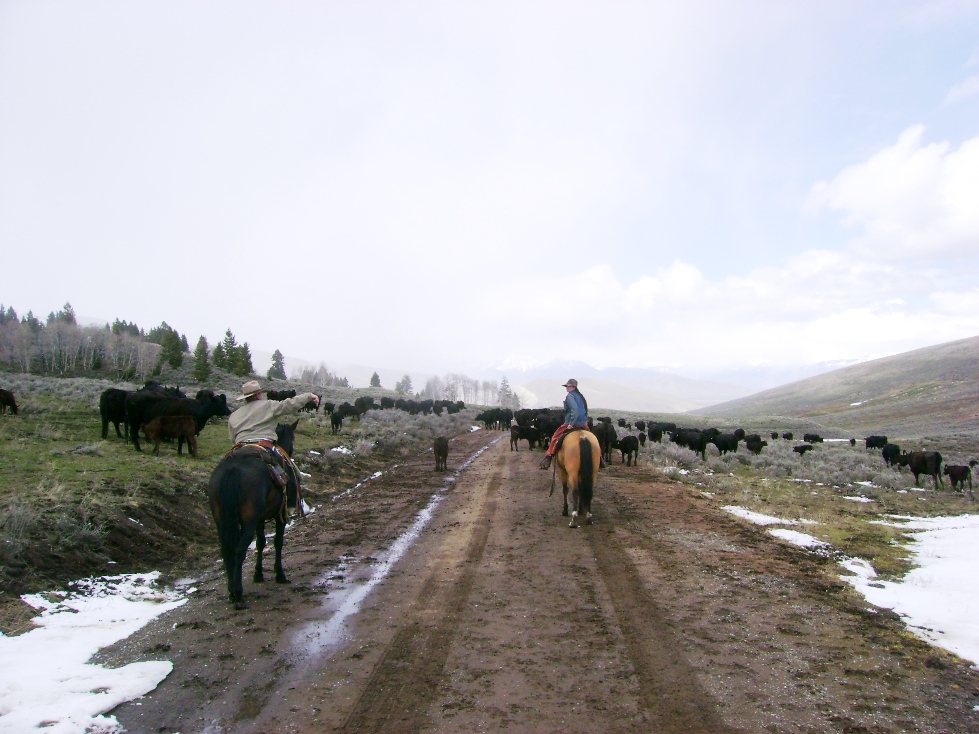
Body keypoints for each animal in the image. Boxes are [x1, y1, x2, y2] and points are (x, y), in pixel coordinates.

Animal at [206, 420, 298, 608]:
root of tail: (233, 469)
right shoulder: (279, 516)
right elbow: (278, 542)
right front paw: (280, 574)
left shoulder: (259, 520)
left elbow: (261, 543)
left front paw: (258, 574)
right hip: (248, 522)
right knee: (239, 550)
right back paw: (238, 594)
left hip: (222, 521)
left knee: (227, 551)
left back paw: (231, 591)